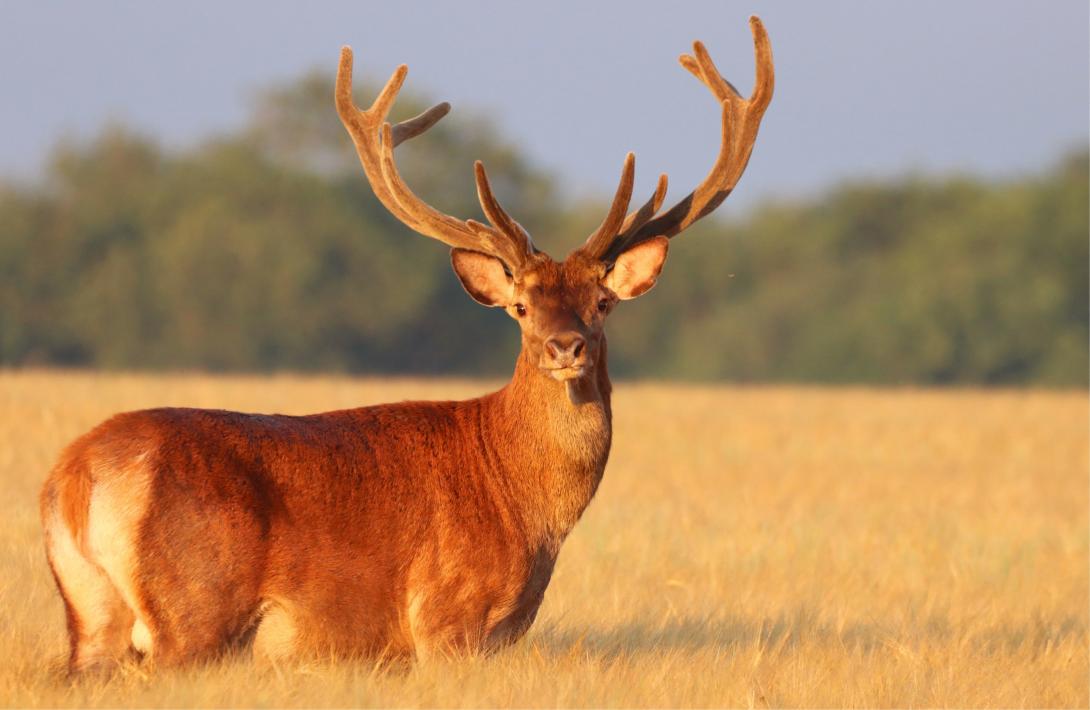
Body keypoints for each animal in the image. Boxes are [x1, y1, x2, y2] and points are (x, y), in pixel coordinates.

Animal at [40, 15, 776, 671]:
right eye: (520, 308)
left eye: (602, 304)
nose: (565, 347)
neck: (523, 502)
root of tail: (75, 476)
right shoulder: (448, 618)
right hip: (195, 609)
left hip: (91, 613)